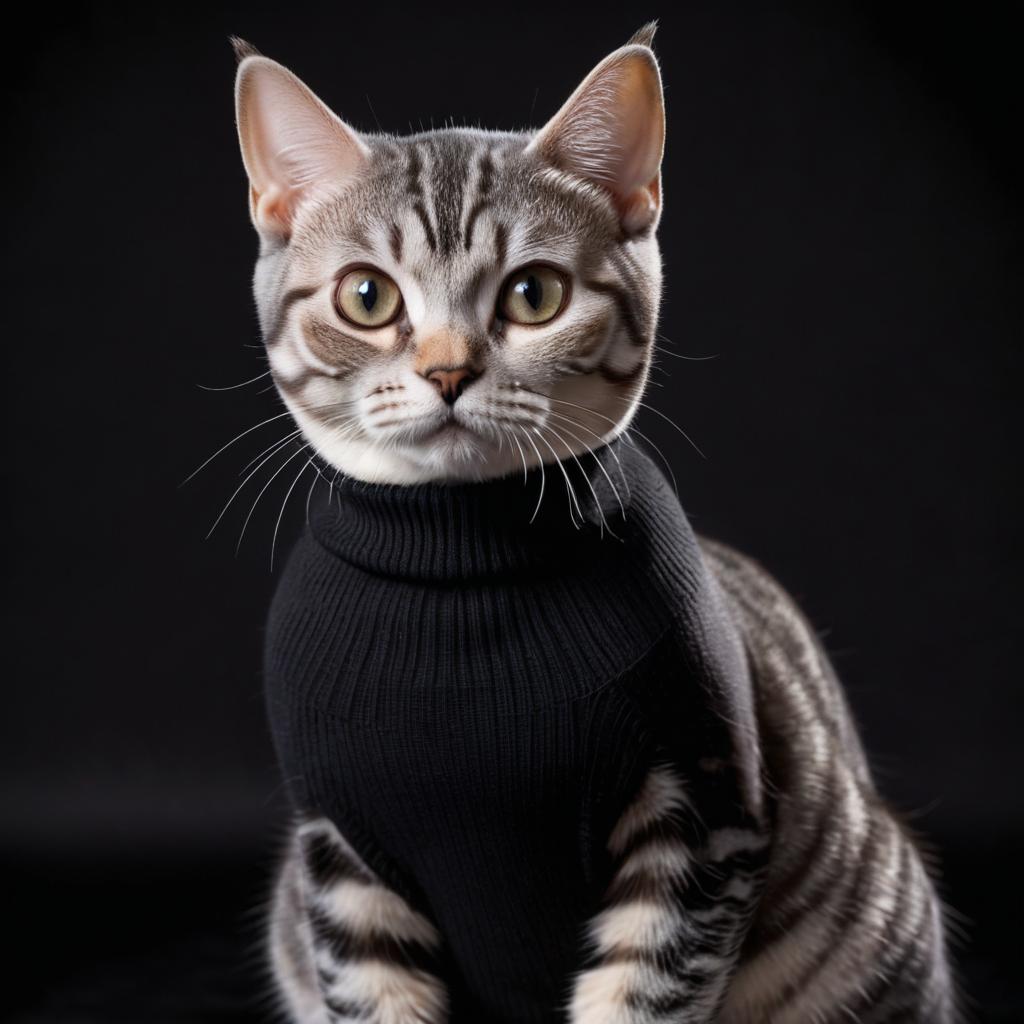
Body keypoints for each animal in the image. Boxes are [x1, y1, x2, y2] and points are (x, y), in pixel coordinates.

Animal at [228, 24, 954, 1024]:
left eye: (533, 295)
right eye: (366, 297)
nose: (448, 371)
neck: (464, 570)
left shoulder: (702, 814)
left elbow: (638, 993)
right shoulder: (340, 856)